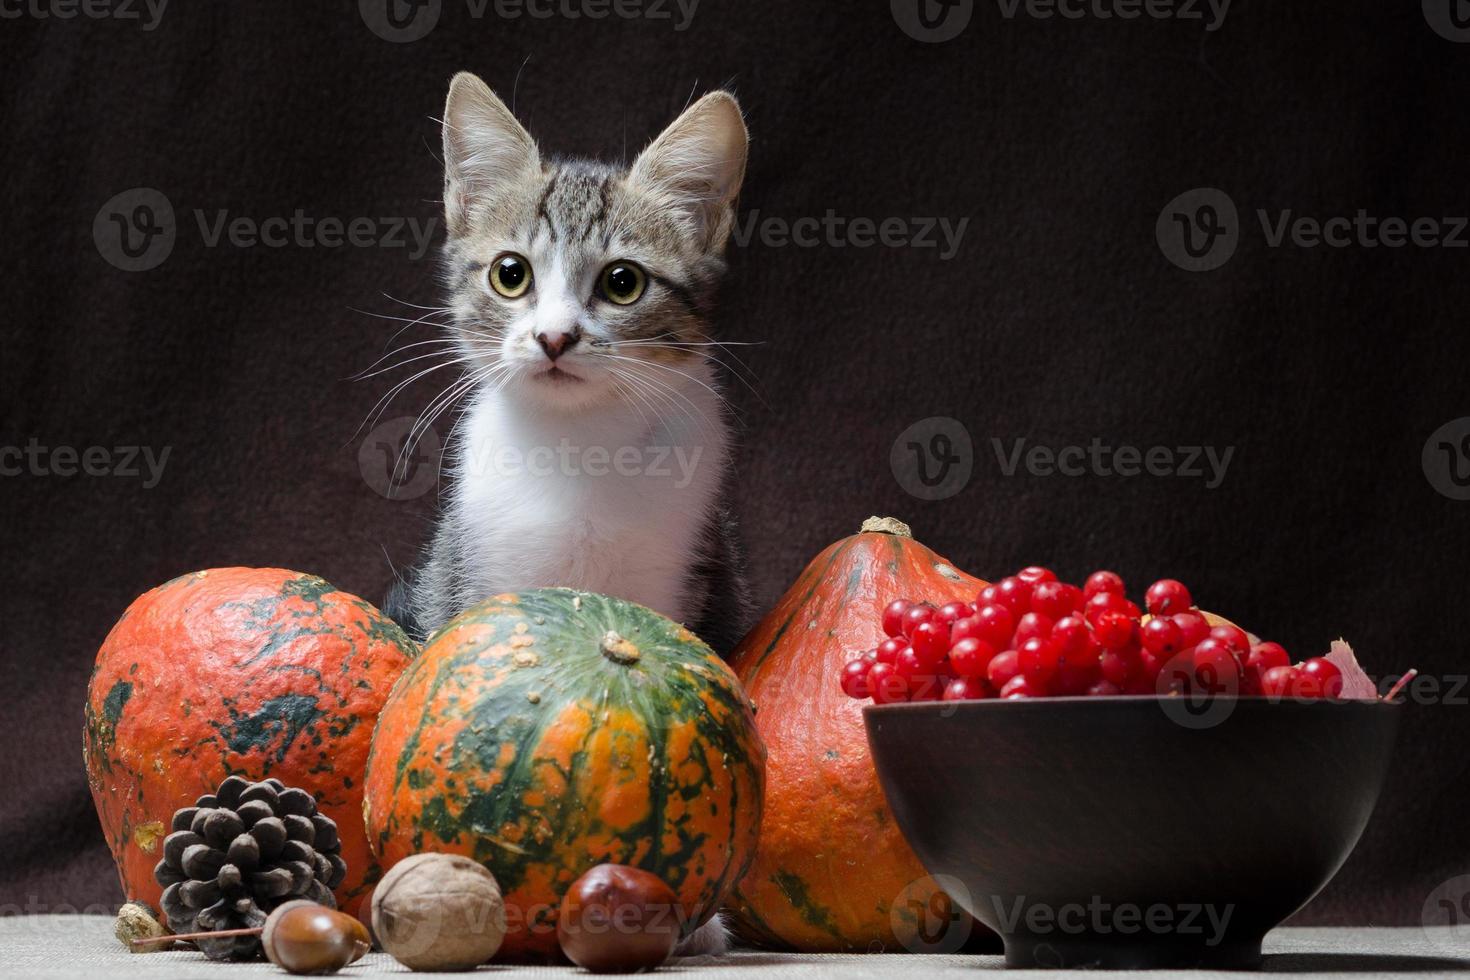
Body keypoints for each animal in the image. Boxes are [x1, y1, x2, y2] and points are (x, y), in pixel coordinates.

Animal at [388, 74, 752, 658]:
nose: (554, 337)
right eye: (510, 274)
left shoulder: (684, 570)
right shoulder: (474, 567)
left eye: (623, 282)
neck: (579, 441)